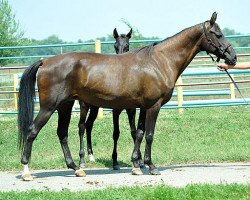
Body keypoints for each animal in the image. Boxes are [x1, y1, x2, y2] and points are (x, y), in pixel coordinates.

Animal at [78, 27, 137, 170]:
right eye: (115, 45)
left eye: (127, 46)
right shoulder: (115, 111)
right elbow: (116, 133)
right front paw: (115, 161)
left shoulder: (132, 110)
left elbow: (134, 131)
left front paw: (138, 160)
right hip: (84, 105)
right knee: (82, 126)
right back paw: (82, 159)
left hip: (95, 107)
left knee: (89, 125)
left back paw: (91, 156)